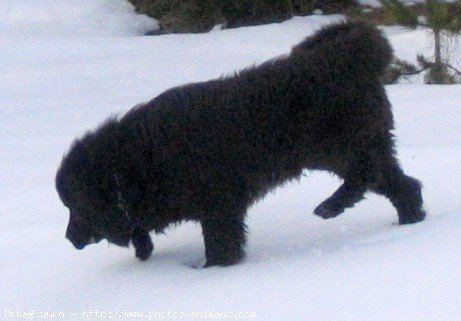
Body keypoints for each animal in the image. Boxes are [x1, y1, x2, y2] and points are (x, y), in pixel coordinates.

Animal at [56, 21, 424, 266]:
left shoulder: (220, 208)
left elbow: (221, 247)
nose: (69, 238)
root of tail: (348, 55)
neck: (132, 163)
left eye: (77, 207)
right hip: (361, 146)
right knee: (404, 185)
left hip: (341, 148)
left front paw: (213, 271)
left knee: (365, 176)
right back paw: (409, 222)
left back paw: (331, 206)